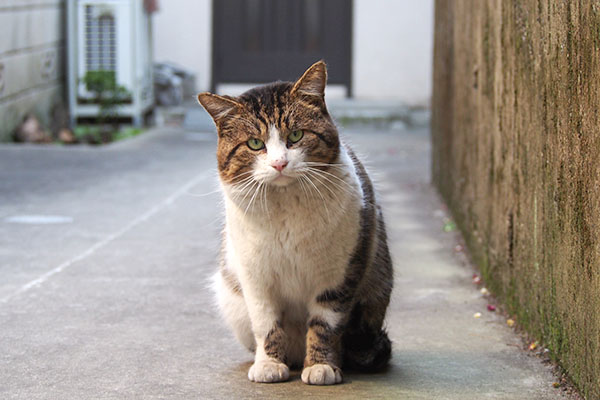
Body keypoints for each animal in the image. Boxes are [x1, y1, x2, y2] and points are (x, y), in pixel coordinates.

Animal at [197, 61, 394, 384]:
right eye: (255, 143)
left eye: (297, 135)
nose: (279, 163)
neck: (286, 211)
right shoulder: (255, 278)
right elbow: (266, 324)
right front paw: (269, 365)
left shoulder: (336, 275)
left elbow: (325, 325)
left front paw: (321, 367)